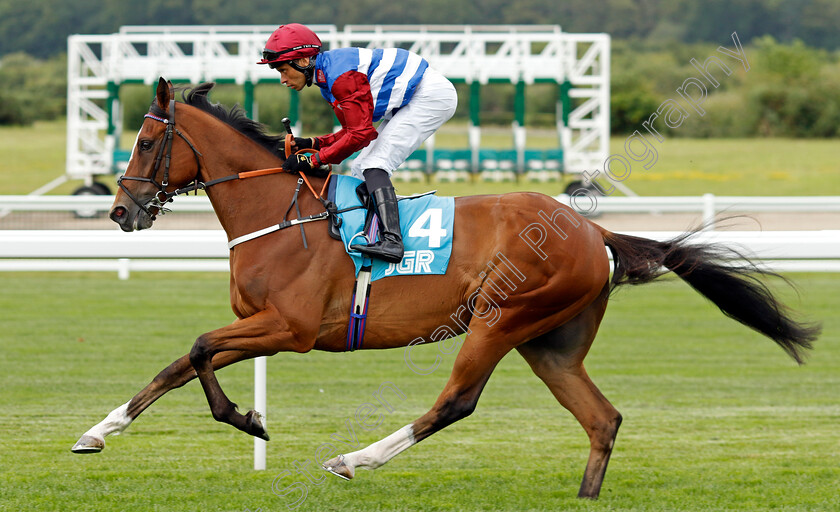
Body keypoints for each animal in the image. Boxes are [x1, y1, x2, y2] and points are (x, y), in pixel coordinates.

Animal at [72, 78, 820, 498]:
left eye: (145, 142)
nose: (122, 213)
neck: (281, 216)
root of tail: (590, 230)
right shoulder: (264, 325)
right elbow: (179, 362)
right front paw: (96, 432)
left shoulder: (291, 329)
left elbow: (198, 348)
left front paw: (247, 418)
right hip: (550, 343)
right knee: (602, 419)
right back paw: (585, 495)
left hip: (500, 318)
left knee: (456, 401)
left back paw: (355, 459)